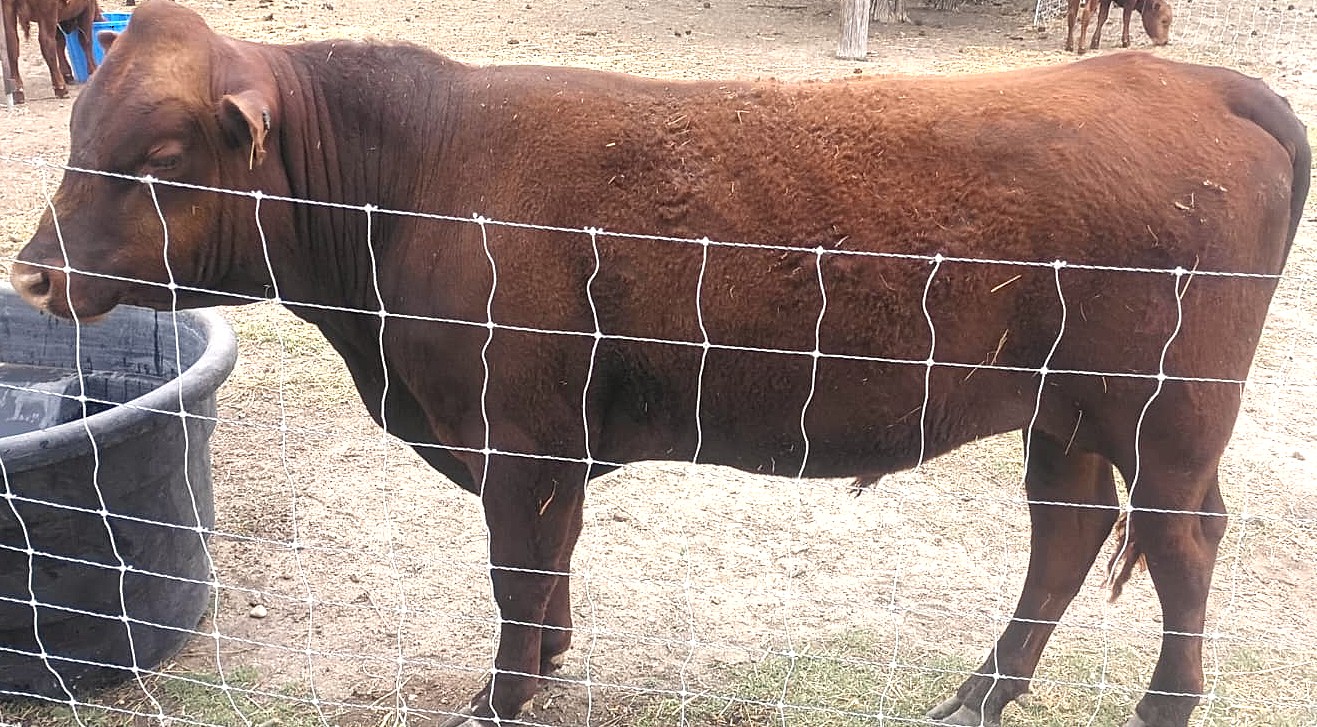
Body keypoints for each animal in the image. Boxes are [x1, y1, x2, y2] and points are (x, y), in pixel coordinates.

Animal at [8, 2, 1310, 725]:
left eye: (162, 153)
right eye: (79, 132)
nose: (33, 273)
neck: (410, 178)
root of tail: (1200, 82)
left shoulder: (518, 436)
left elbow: (515, 572)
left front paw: (500, 698)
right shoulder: (554, 440)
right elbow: (550, 569)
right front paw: (546, 665)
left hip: (1165, 416)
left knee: (1183, 542)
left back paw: (1162, 706)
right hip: (1066, 413)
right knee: (1067, 531)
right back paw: (983, 692)